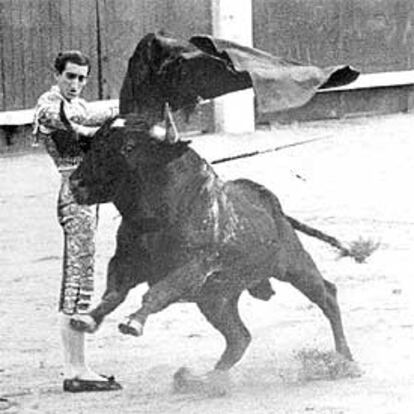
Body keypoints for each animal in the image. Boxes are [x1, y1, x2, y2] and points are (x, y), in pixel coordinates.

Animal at [69, 120, 354, 372]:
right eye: (93, 144)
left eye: (129, 147)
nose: (75, 183)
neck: (158, 218)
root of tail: (273, 205)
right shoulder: (125, 262)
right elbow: (113, 294)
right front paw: (86, 318)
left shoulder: (193, 268)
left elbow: (157, 293)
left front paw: (133, 322)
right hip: (216, 300)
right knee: (239, 338)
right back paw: (206, 380)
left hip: (294, 266)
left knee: (327, 296)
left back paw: (346, 360)